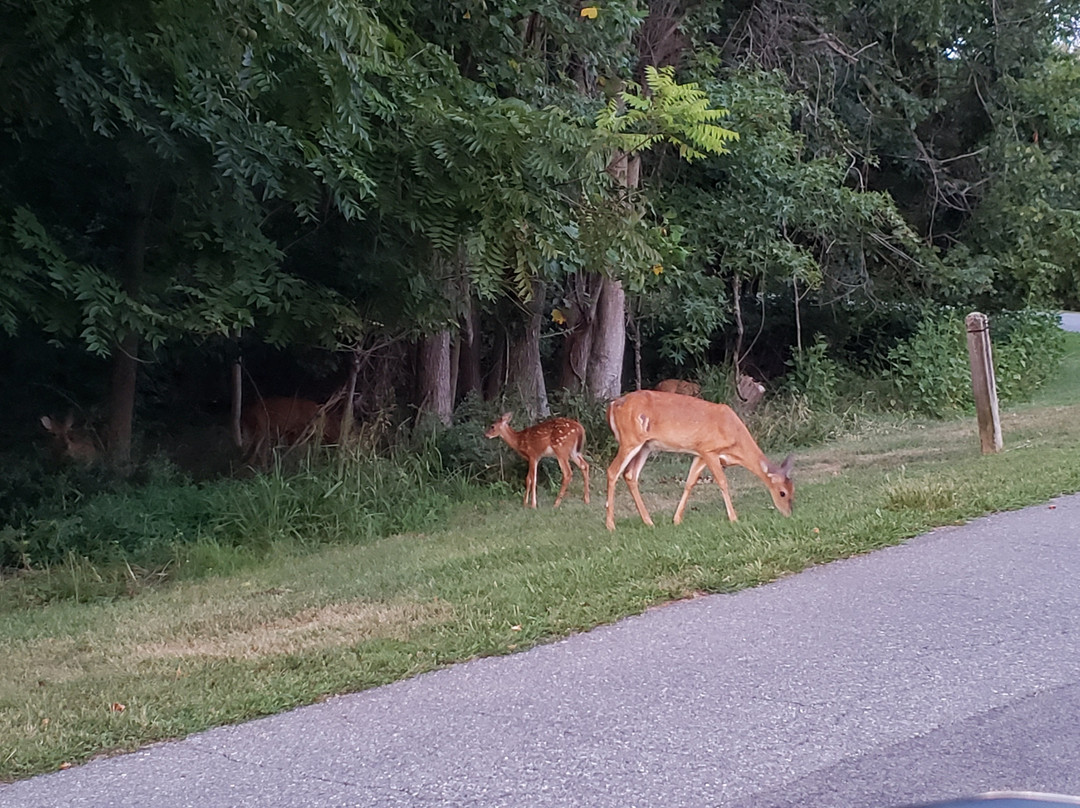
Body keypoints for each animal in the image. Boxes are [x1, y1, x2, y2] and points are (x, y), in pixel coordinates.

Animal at [609, 388, 794, 529]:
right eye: (782, 493)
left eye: (794, 490)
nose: (788, 513)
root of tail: (613, 405)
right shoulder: (709, 450)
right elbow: (722, 482)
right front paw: (734, 518)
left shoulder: (700, 452)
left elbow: (690, 482)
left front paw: (677, 520)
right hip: (630, 439)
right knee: (612, 471)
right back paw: (611, 525)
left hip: (646, 446)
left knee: (630, 474)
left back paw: (648, 522)